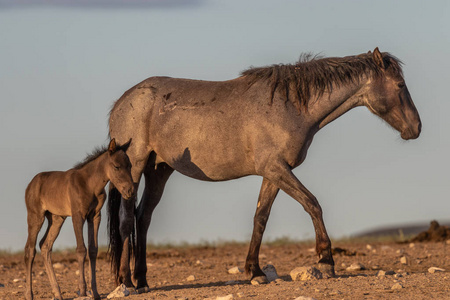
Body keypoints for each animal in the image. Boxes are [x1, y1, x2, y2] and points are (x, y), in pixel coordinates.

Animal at [24, 139, 134, 298]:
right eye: (116, 166)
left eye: (130, 166)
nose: (130, 191)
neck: (90, 185)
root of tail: (30, 185)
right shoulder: (77, 215)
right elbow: (81, 249)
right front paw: (82, 290)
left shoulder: (95, 216)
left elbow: (93, 250)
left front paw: (95, 292)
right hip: (35, 216)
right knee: (30, 250)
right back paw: (29, 294)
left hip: (57, 218)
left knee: (45, 245)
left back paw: (57, 293)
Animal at [106, 48, 422, 290]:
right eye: (400, 86)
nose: (416, 128)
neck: (291, 106)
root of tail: (122, 102)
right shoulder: (276, 168)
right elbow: (313, 204)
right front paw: (325, 260)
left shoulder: (273, 173)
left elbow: (260, 217)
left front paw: (255, 271)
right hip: (134, 169)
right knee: (126, 220)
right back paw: (126, 282)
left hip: (159, 170)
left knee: (143, 218)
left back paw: (142, 279)